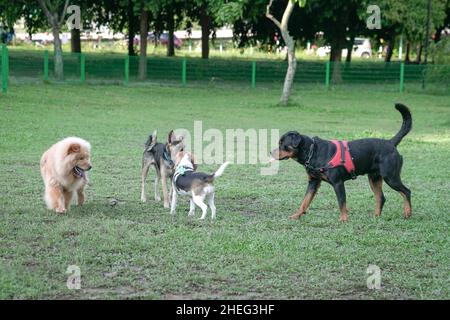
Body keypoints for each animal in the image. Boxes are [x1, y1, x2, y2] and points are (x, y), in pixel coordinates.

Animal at [268, 104, 414, 221]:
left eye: (282, 144)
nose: (270, 152)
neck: (312, 152)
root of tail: (390, 142)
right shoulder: (313, 183)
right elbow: (305, 201)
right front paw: (297, 215)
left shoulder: (338, 183)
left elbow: (341, 202)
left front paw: (343, 219)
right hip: (374, 178)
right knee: (381, 197)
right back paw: (376, 216)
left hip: (391, 177)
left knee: (406, 191)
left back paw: (408, 213)